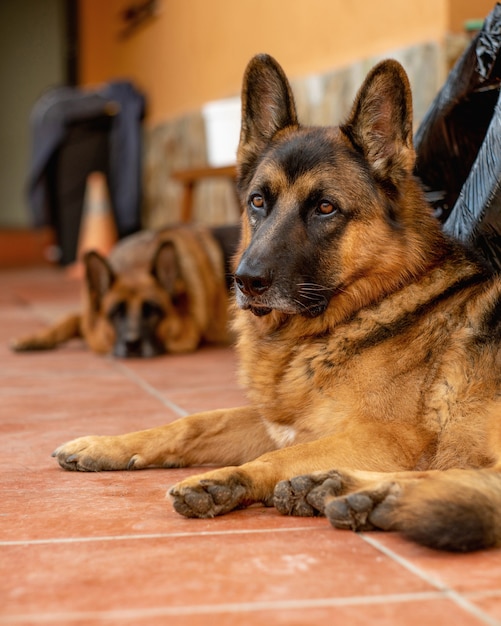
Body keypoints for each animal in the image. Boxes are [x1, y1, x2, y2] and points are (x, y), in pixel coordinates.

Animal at [11, 225, 238, 358]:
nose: (132, 345)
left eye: (152, 310)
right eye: (116, 312)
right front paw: (33, 338)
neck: (135, 263)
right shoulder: (89, 316)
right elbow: (67, 319)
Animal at [50, 56, 500, 548]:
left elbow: (275, 459)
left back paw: (363, 494)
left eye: (325, 208)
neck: (360, 310)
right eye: (258, 201)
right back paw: (349, 492)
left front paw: (229, 479)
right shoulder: (279, 425)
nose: (244, 281)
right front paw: (108, 445)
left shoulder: (383, 439)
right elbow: (194, 422)